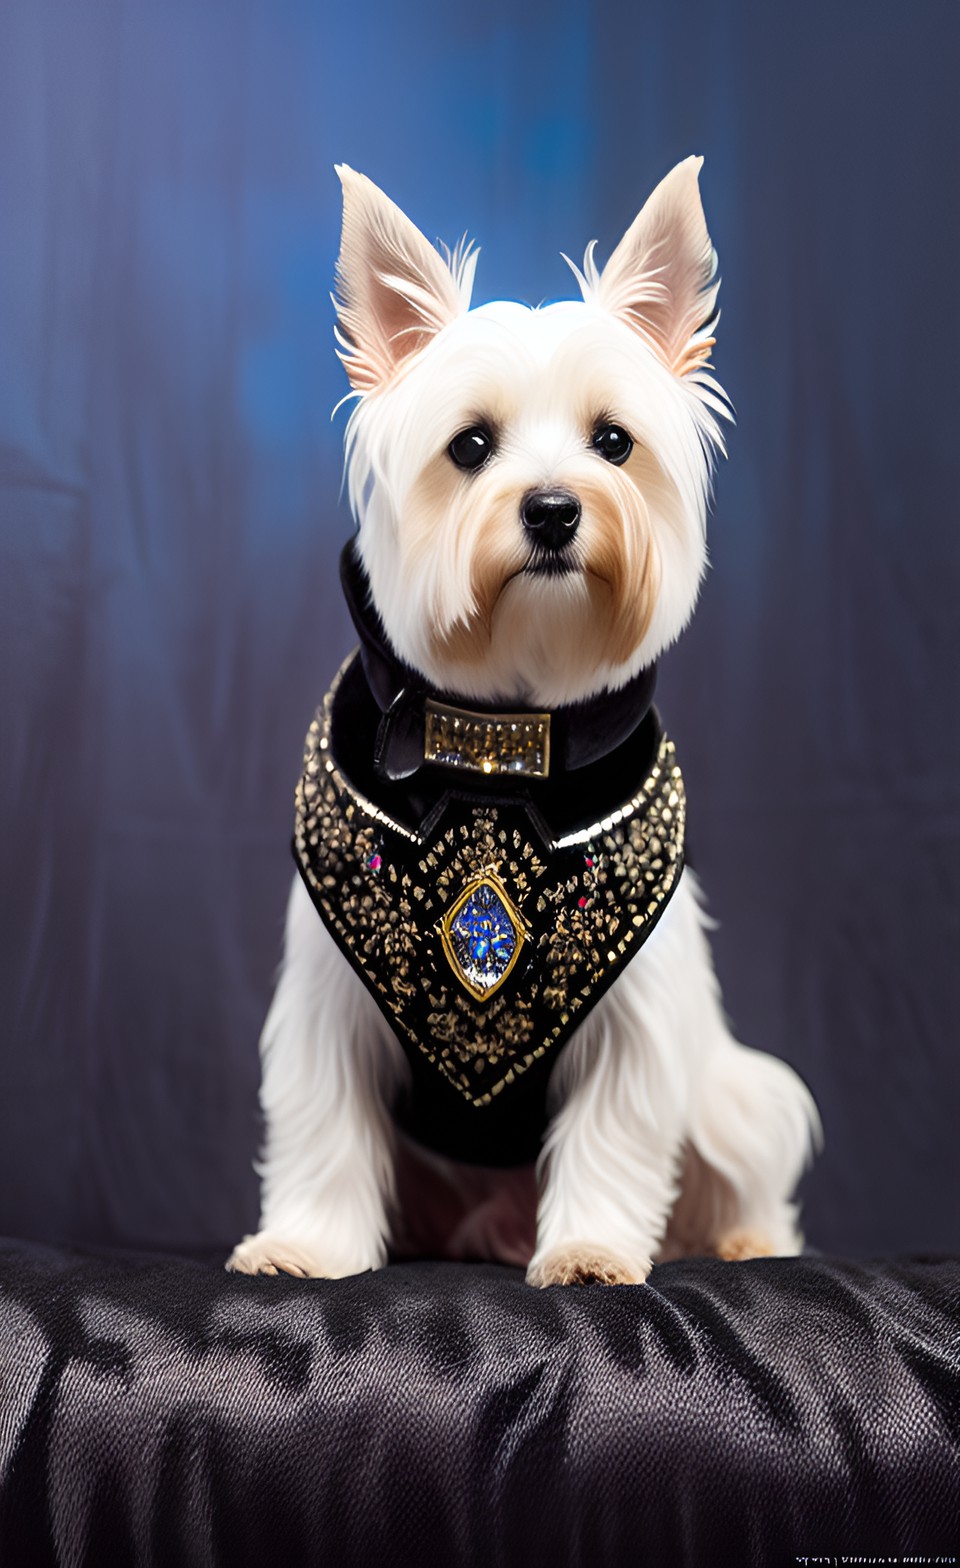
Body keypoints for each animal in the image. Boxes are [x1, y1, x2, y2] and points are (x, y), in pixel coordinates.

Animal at [229, 156, 821, 1285]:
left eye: (614, 442)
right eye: (470, 446)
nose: (552, 508)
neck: (499, 749)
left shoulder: (636, 1013)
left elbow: (614, 1133)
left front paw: (589, 1248)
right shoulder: (328, 998)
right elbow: (324, 1123)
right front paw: (306, 1245)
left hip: (734, 1092)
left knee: (744, 1165)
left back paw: (745, 1236)